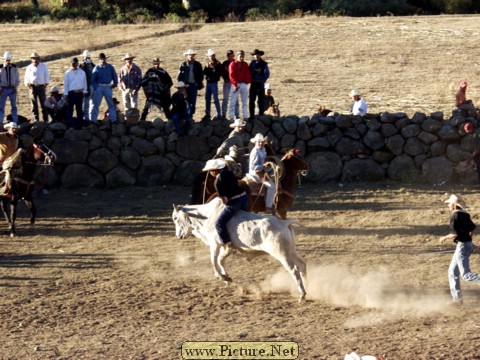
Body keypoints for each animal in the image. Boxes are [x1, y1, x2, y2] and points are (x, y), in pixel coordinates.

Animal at [172, 198, 308, 300]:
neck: (207, 216)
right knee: (301, 265)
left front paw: (223, 277)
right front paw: (227, 279)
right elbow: (220, 261)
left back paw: (302, 294)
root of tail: (284, 223)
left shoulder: (215, 244)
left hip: (282, 254)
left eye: (175, 218)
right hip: (291, 251)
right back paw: (307, 287)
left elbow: (214, 262)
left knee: (294, 270)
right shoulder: (228, 248)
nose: (178, 236)